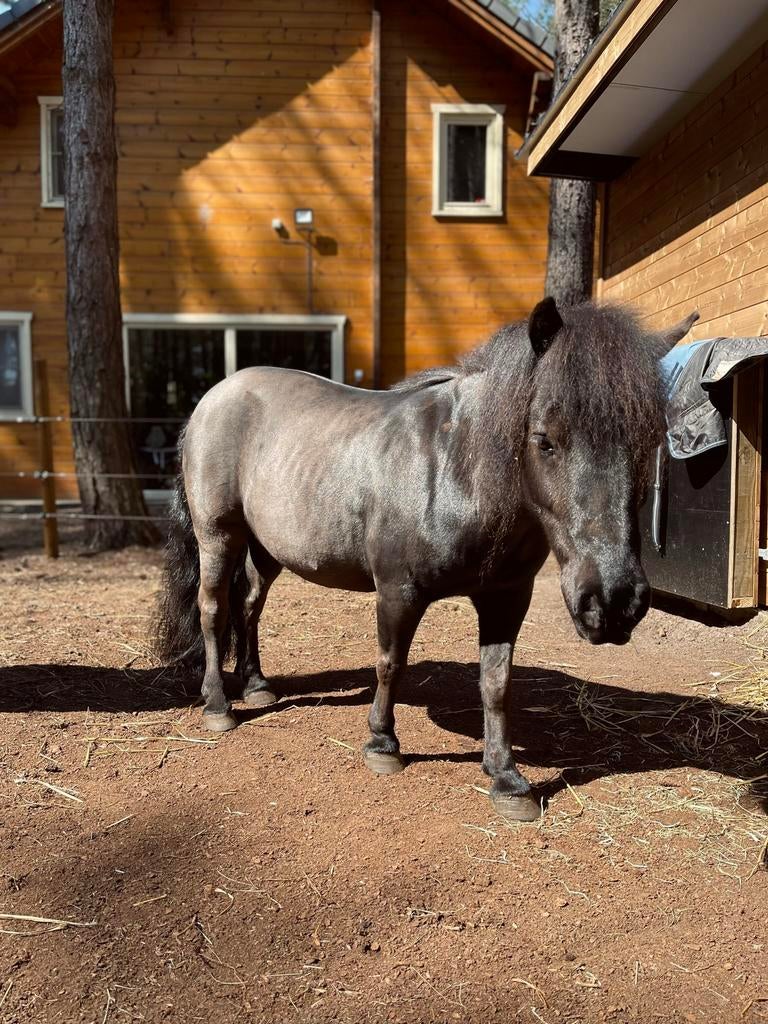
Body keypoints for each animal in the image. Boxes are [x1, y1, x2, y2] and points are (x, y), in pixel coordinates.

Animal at [155, 298, 699, 822]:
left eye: (648, 443)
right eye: (544, 439)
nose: (613, 601)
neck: (457, 470)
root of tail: (215, 397)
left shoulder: (506, 598)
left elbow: (496, 682)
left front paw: (506, 778)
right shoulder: (399, 590)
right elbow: (390, 664)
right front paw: (382, 745)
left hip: (267, 548)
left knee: (249, 606)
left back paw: (256, 686)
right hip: (218, 536)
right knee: (214, 610)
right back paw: (219, 705)